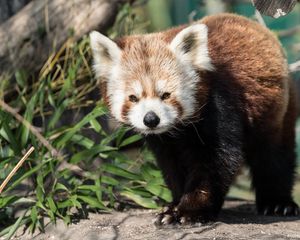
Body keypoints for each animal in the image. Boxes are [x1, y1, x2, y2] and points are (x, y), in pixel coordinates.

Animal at [90, 14, 298, 225]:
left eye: (166, 95)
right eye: (133, 98)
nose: (151, 119)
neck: (178, 130)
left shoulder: (219, 106)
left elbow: (216, 162)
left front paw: (190, 211)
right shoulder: (164, 143)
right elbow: (173, 167)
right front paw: (173, 206)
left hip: (278, 111)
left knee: (273, 157)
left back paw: (278, 204)